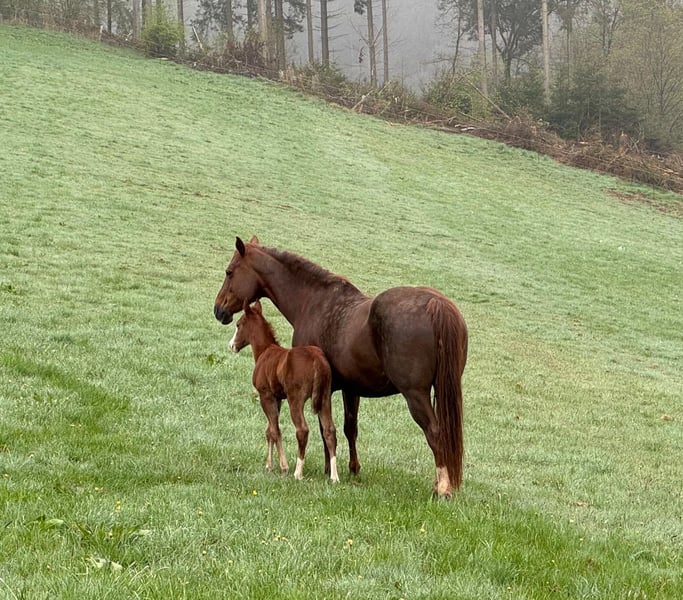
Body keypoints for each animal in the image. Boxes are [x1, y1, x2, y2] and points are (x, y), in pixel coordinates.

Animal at [229, 299, 339, 483]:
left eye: (238, 325)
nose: (232, 345)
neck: (265, 351)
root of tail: (317, 359)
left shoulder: (265, 395)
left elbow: (275, 430)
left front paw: (283, 466)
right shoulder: (277, 398)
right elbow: (269, 430)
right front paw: (269, 465)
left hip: (296, 399)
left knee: (302, 430)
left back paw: (298, 472)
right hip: (325, 398)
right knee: (329, 431)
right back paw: (334, 476)